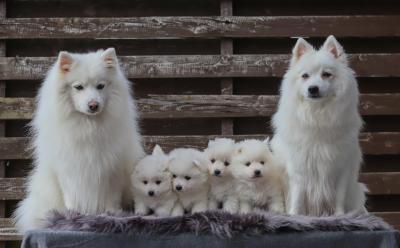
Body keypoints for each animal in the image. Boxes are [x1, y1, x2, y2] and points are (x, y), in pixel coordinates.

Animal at [13, 48, 145, 232]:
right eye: (78, 87)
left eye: (100, 86)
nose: (93, 105)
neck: (88, 128)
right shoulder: (69, 170)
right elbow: (72, 199)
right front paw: (72, 218)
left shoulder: (113, 170)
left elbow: (111, 199)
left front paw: (112, 216)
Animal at [270, 35, 368, 216]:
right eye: (305, 76)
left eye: (326, 74)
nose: (313, 89)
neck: (317, 117)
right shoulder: (299, 168)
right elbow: (298, 197)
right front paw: (294, 216)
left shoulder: (341, 168)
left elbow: (339, 197)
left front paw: (340, 216)